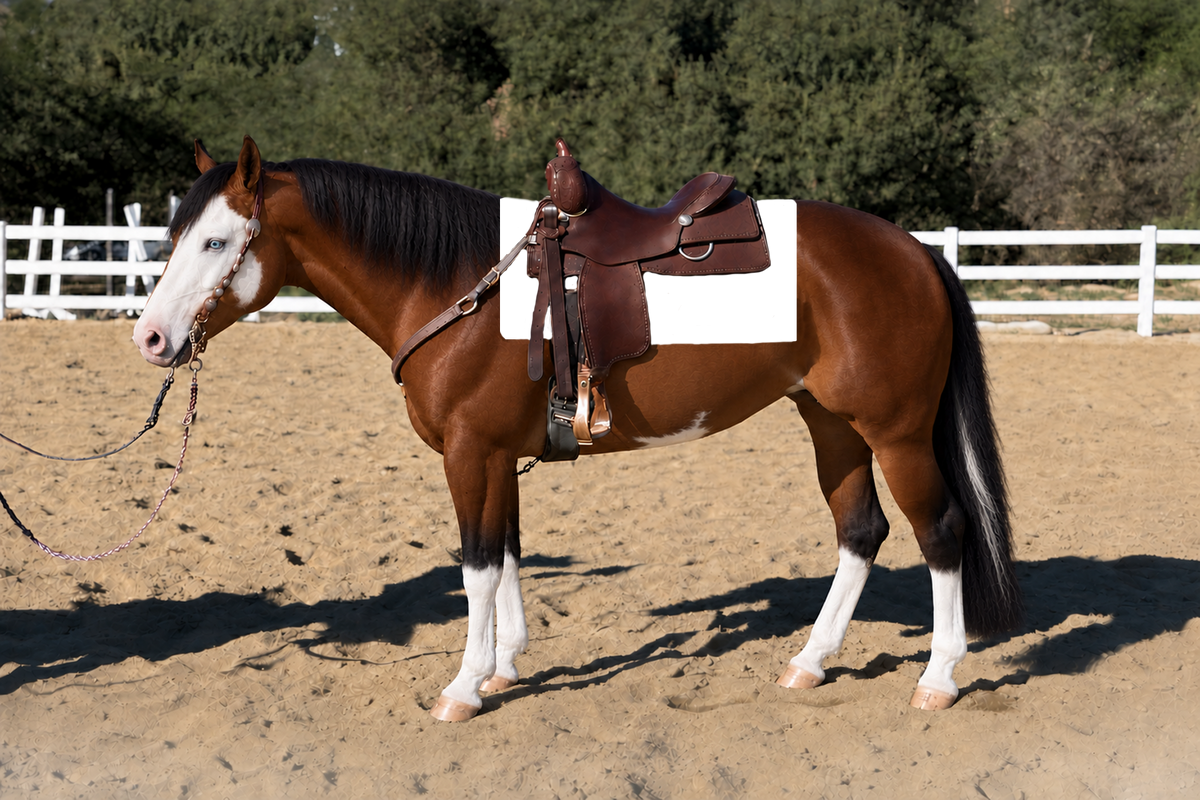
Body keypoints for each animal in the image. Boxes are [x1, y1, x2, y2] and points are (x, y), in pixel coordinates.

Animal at [132, 136, 1023, 722]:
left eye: (216, 240)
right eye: (172, 236)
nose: (150, 338)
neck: (461, 288)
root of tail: (914, 251)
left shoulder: (471, 454)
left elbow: (476, 567)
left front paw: (462, 688)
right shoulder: (496, 456)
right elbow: (506, 556)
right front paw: (502, 668)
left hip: (895, 431)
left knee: (941, 531)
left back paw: (939, 677)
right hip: (831, 423)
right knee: (860, 531)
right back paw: (809, 662)